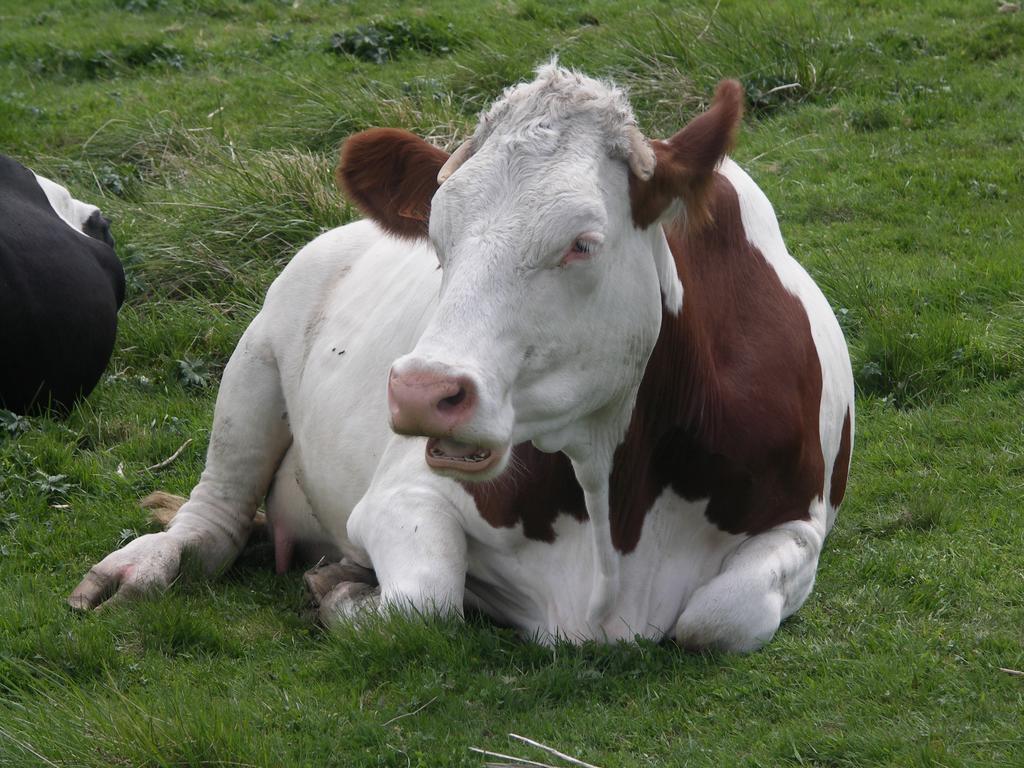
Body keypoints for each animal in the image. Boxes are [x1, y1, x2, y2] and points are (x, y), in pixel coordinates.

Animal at [72, 66, 851, 651]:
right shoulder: (399, 494)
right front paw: (343, 590)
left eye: (582, 243)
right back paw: (143, 569)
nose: (421, 391)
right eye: (438, 239)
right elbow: (424, 601)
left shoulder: (801, 525)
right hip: (254, 361)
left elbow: (719, 618)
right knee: (215, 516)